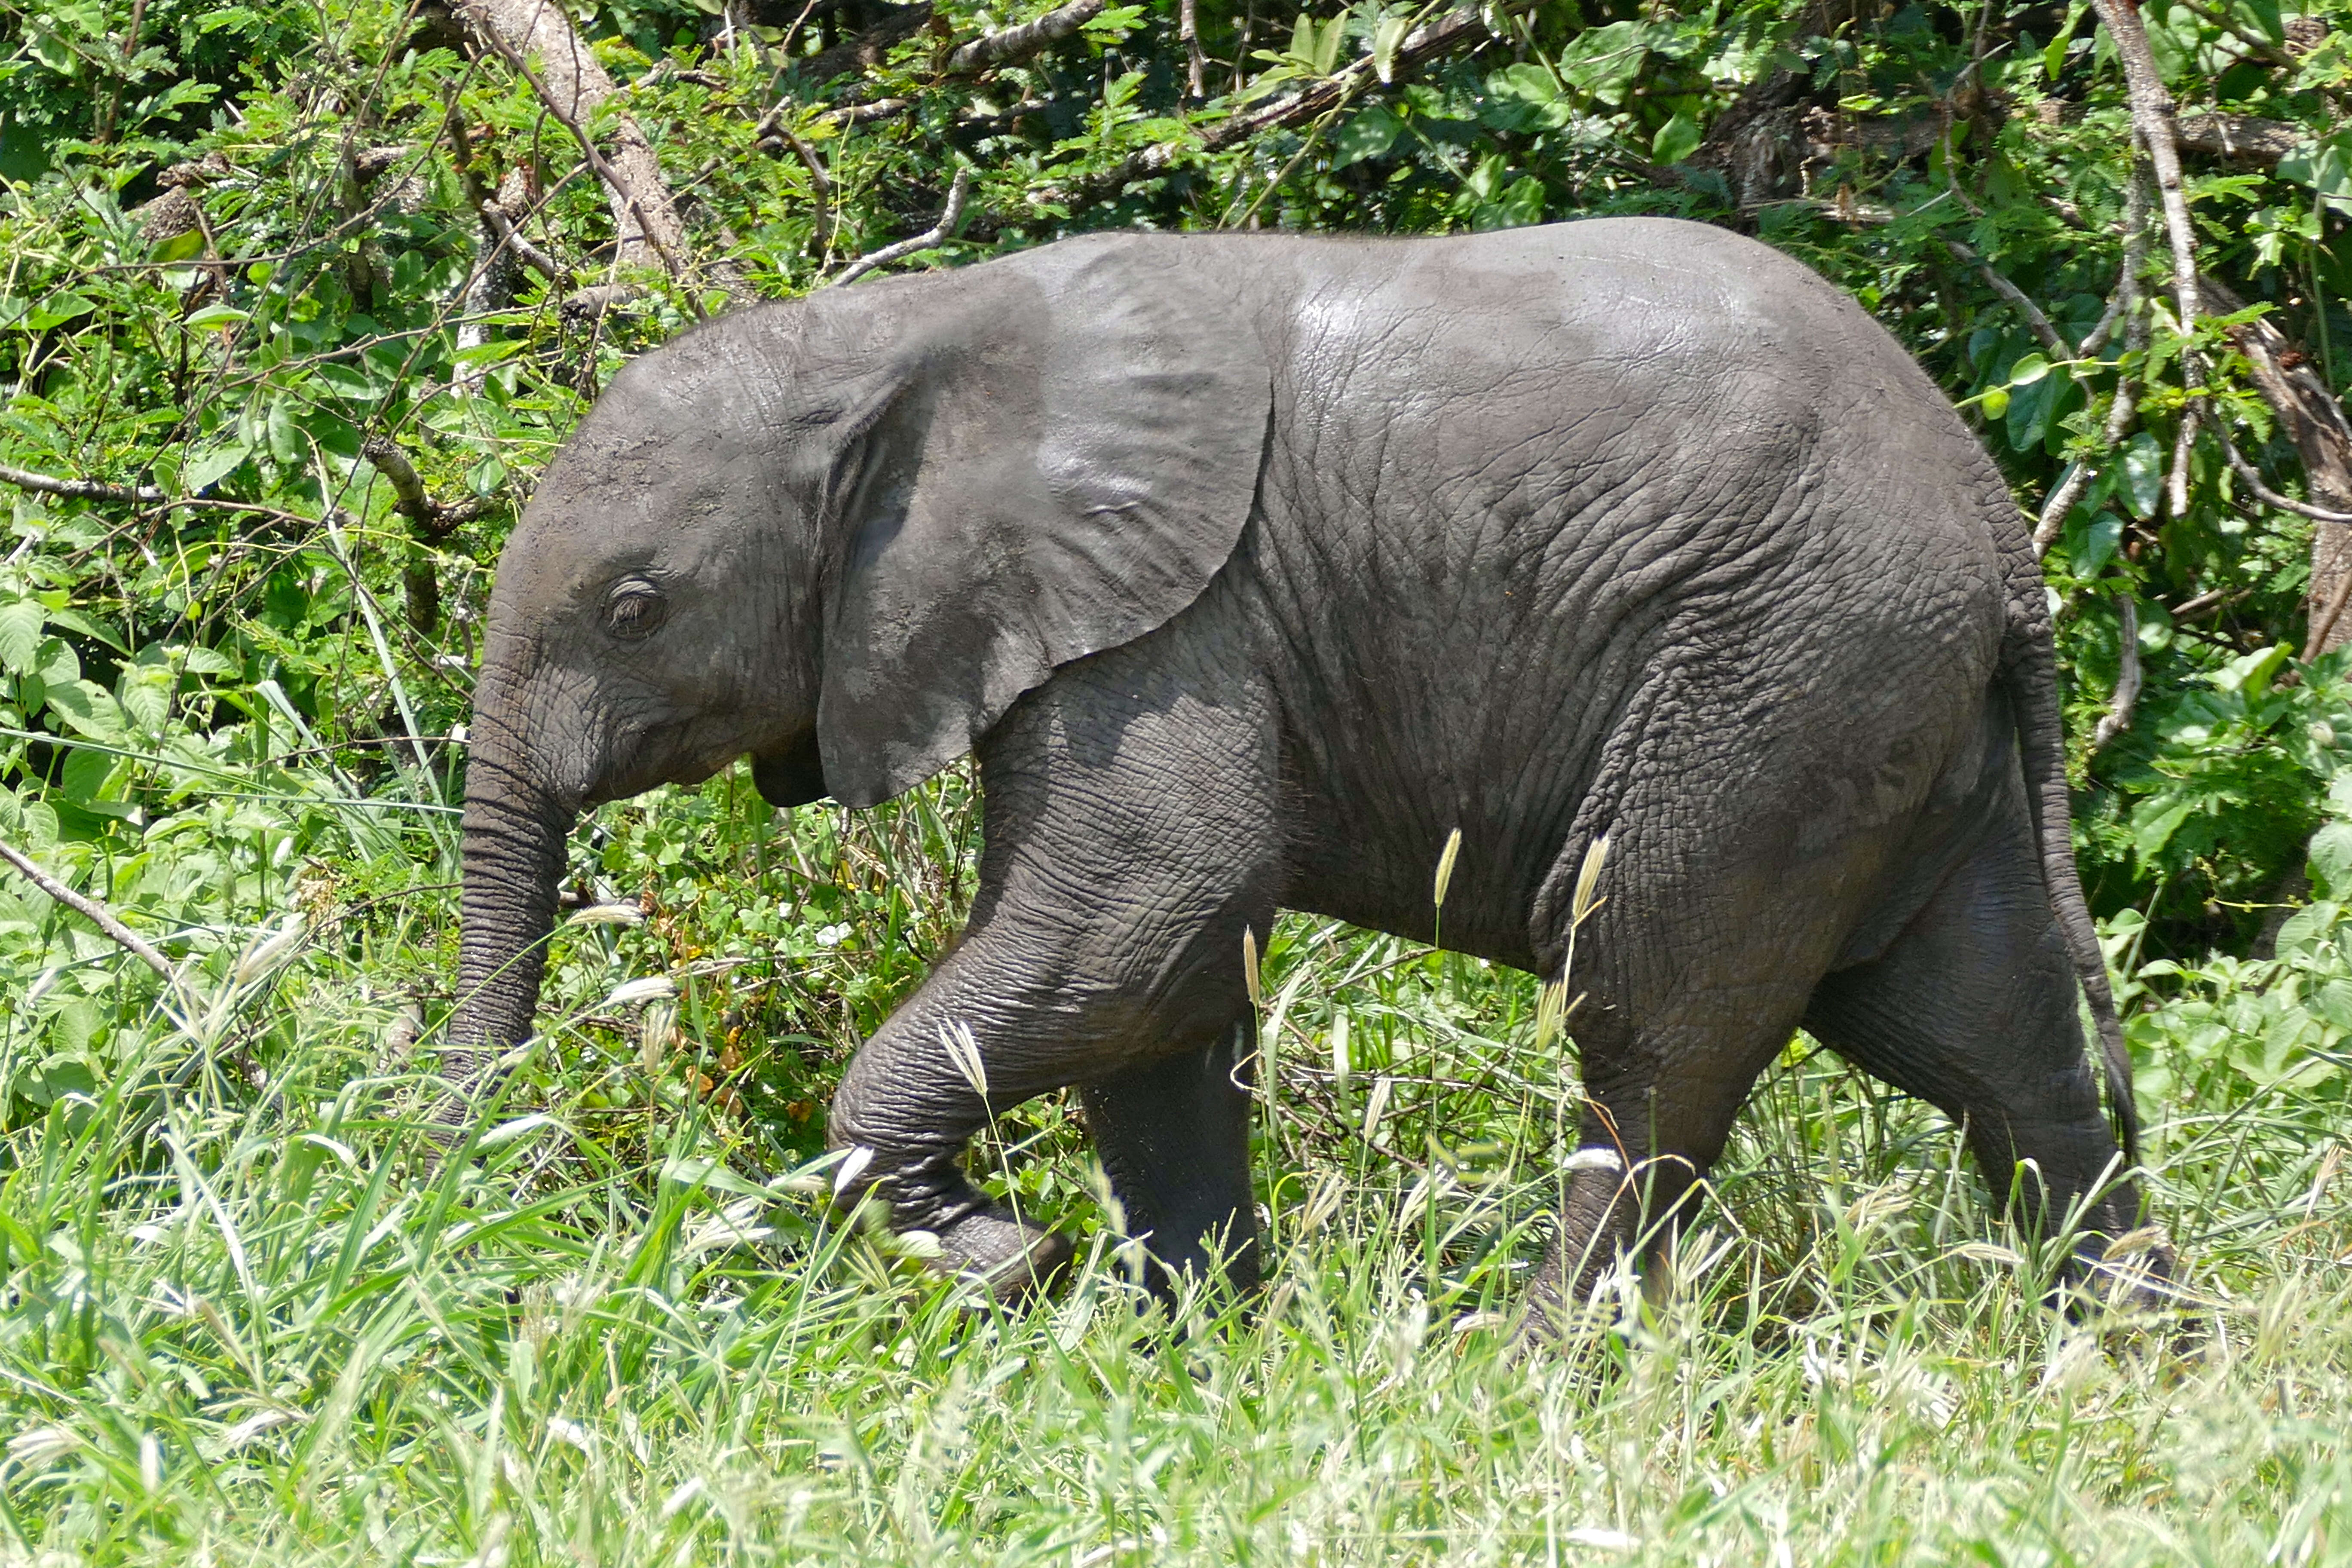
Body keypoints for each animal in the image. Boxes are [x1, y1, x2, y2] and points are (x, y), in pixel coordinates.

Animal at [444, 217, 2164, 1326]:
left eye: (635, 610)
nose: (481, 1220)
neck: (901, 334)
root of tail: (1997, 524)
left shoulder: (1172, 621)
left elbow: (1152, 910)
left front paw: (1011, 1266)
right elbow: (1163, 998)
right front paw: (1186, 1348)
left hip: (1776, 676)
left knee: (1647, 1029)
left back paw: (1527, 1370)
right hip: (1879, 707)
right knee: (1995, 1044)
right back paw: (2127, 1363)